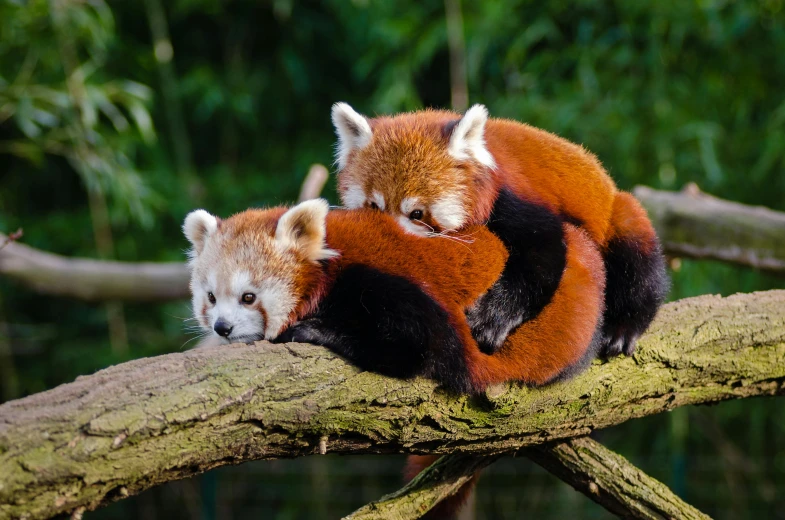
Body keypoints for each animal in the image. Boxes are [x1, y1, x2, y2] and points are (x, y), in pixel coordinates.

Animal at [330, 103, 668, 360]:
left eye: (417, 213)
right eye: (374, 207)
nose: (390, 240)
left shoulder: (512, 199)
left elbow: (540, 257)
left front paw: (491, 321)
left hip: (618, 215)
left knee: (637, 258)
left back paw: (624, 328)